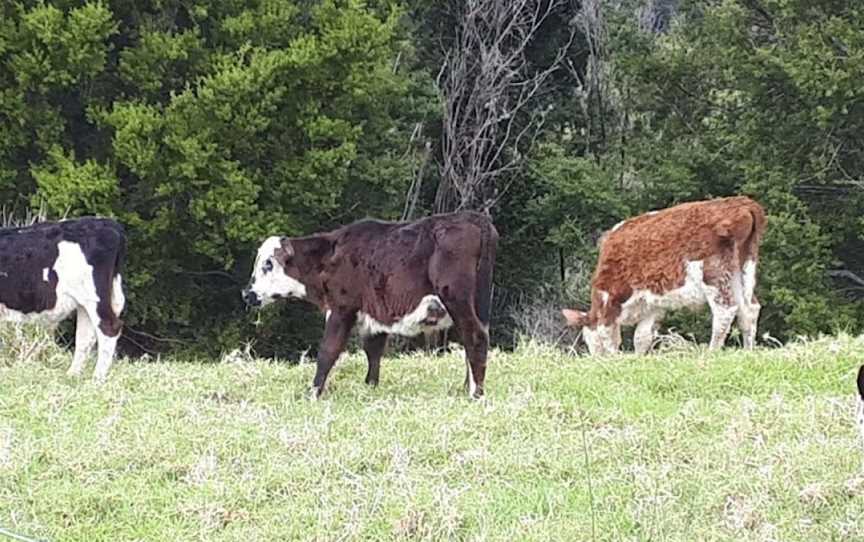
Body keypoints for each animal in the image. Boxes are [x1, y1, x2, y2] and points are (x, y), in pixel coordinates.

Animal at [0, 218, 127, 382]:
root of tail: (107, 223)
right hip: (85, 301)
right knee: (84, 335)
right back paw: (72, 375)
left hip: (94, 296)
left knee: (109, 327)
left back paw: (96, 379)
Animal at [243, 211, 500, 400]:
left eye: (268, 264)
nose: (247, 294)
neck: (332, 256)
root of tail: (474, 218)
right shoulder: (374, 315)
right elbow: (373, 351)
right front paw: (370, 386)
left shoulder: (341, 309)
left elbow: (328, 351)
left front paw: (313, 392)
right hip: (477, 305)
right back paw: (466, 387)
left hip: (457, 299)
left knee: (475, 336)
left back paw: (476, 393)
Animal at [564, 198, 768, 354]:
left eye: (588, 341)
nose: (596, 359)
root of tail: (742, 203)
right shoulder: (652, 304)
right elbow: (642, 336)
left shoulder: (610, 299)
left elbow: (607, 333)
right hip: (741, 269)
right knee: (749, 309)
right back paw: (748, 351)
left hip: (713, 274)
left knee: (725, 310)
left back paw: (712, 352)